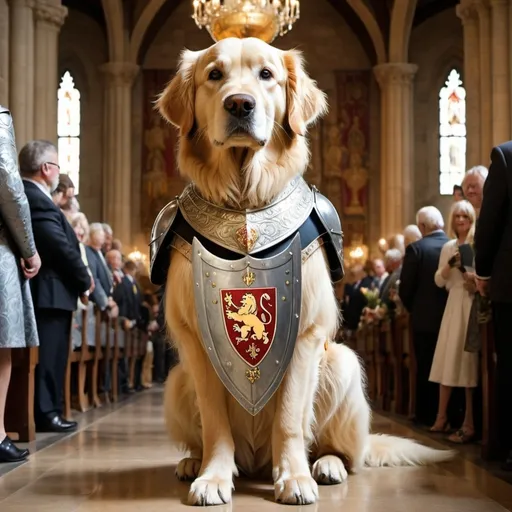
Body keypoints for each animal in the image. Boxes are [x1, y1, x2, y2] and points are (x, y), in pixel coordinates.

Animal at [154, 38, 454, 506]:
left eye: (266, 75)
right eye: (214, 75)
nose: (239, 104)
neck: (245, 200)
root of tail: (256, 460)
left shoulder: (306, 332)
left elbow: (291, 417)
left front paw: (293, 476)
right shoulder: (194, 339)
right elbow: (216, 421)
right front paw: (213, 477)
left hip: (343, 363)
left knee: (344, 450)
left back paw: (326, 464)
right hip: (176, 379)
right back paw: (192, 462)